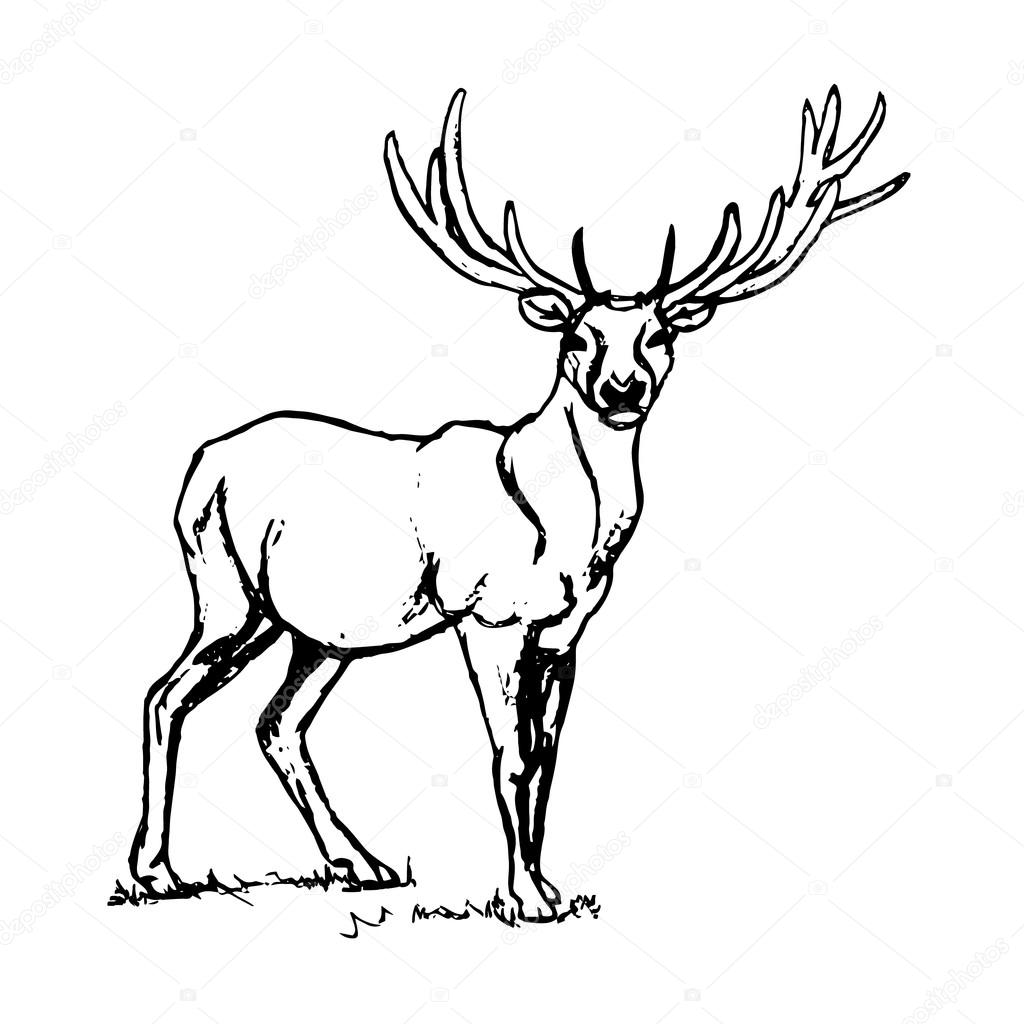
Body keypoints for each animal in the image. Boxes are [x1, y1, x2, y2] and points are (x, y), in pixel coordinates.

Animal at [129, 87, 908, 919]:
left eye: (659, 334)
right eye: (578, 336)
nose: (622, 389)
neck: (563, 535)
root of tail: (201, 461)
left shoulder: (564, 635)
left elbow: (547, 758)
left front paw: (547, 885)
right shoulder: (488, 614)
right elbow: (509, 756)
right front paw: (521, 899)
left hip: (319, 632)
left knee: (276, 723)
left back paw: (360, 864)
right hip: (225, 589)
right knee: (165, 695)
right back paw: (156, 872)